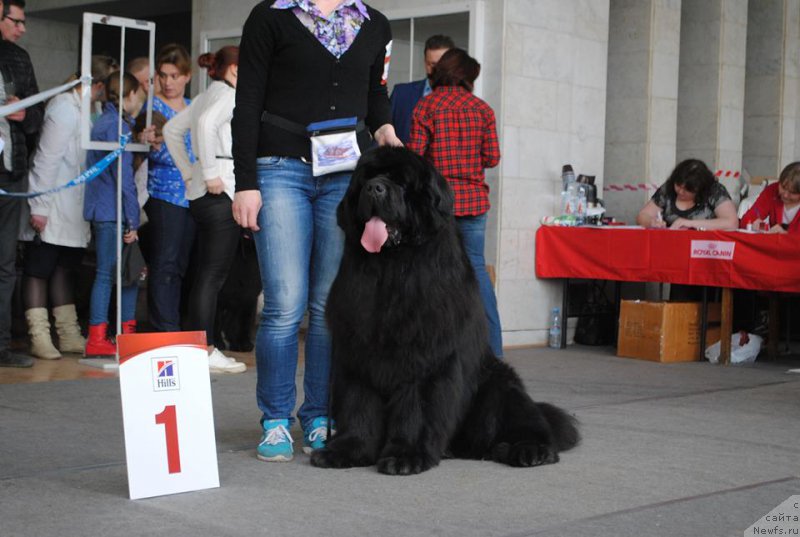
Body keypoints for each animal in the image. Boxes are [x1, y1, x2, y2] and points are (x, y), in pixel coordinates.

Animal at [310, 146, 580, 474]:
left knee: (527, 422)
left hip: (498, 385)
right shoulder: (357, 352)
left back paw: (529, 450)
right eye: (366, 179)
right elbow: (357, 404)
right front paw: (345, 449)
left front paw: (406, 456)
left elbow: (417, 409)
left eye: (401, 182)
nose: (375, 188)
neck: (391, 269)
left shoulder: (425, 355)